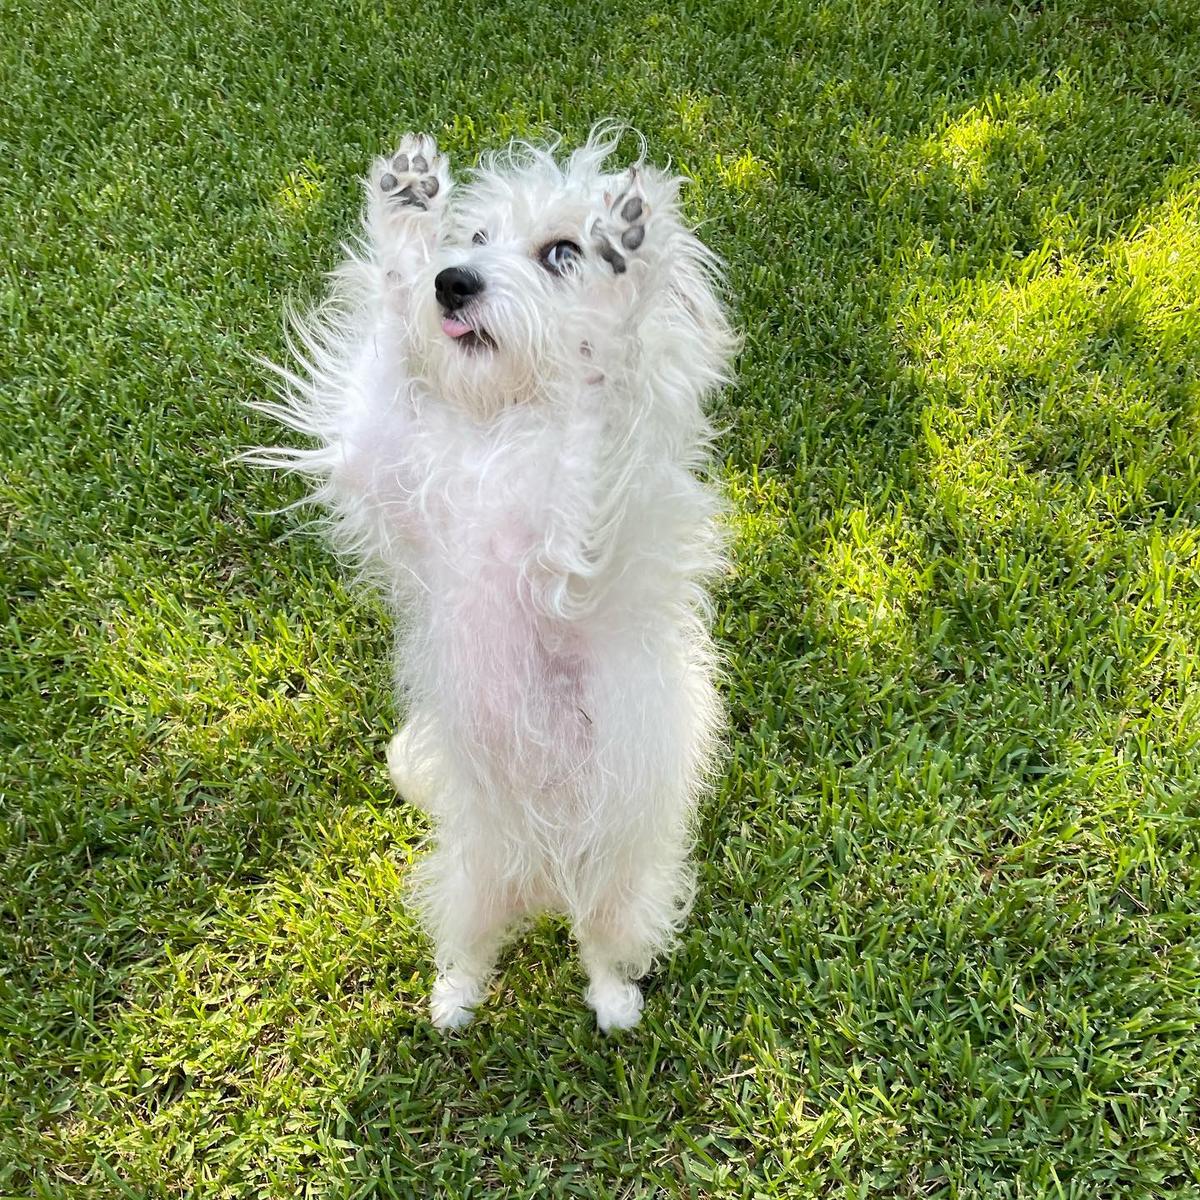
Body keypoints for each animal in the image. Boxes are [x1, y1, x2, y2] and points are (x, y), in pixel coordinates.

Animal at [255, 129, 729, 1032]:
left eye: (561, 253)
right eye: (473, 240)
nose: (454, 281)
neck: (505, 420)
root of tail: (543, 883)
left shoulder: (577, 554)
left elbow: (601, 401)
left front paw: (618, 294)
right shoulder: (382, 465)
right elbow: (387, 340)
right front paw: (406, 211)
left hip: (620, 884)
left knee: (602, 945)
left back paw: (614, 1004)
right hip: (469, 876)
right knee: (472, 944)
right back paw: (454, 1000)